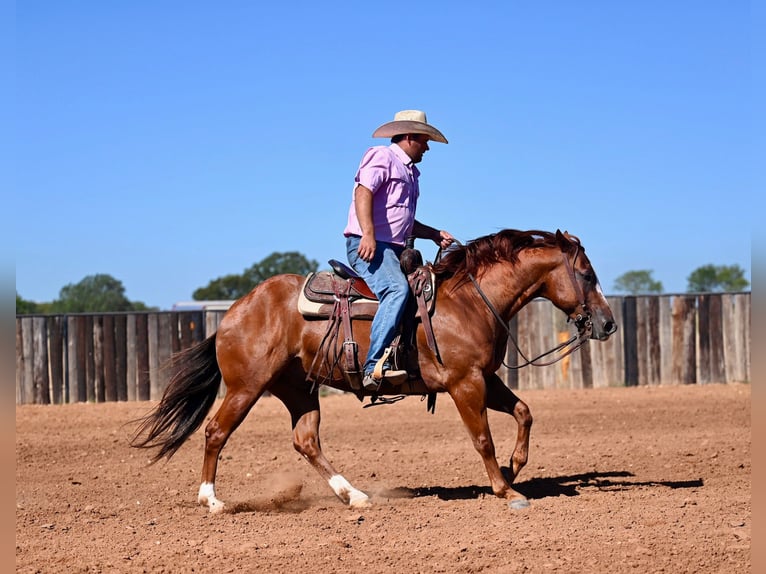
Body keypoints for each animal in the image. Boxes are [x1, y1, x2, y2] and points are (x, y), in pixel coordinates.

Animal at [132, 230, 616, 512]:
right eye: (587, 274)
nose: (607, 323)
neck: (469, 300)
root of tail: (233, 313)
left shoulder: (486, 379)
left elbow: (523, 413)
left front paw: (513, 469)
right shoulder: (466, 383)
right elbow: (482, 439)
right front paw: (505, 490)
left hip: (299, 389)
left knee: (306, 441)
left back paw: (355, 496)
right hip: (246, 386)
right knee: (216, 432)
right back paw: (211, 500)